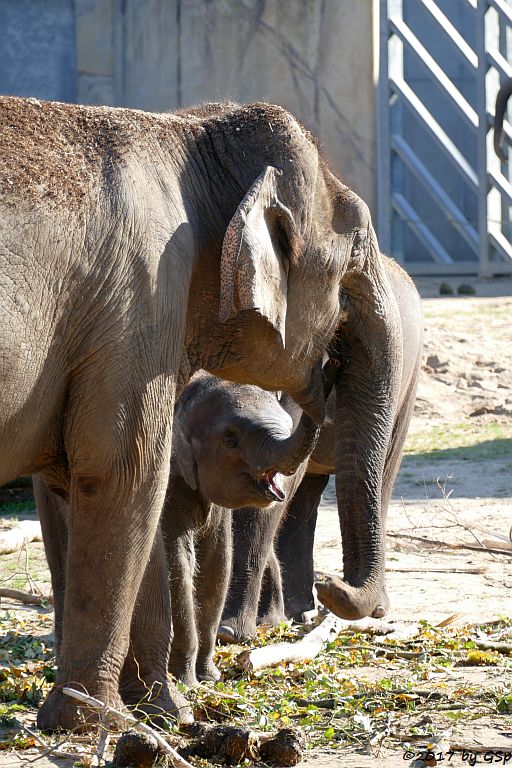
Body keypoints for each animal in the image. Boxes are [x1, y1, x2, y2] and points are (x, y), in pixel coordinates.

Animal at [0, 99, 398, 728]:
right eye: (353, 265)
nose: (330, 588)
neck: (189, 134)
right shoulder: (137, 311)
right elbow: (124, 480)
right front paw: (101, 721)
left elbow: (103, 491)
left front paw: (159, 710)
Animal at [218, 255, 422, 640]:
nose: (329, 583)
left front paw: (230, 631)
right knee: (307, 496)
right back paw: (298, 608)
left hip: (408, 382)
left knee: (383, 475)